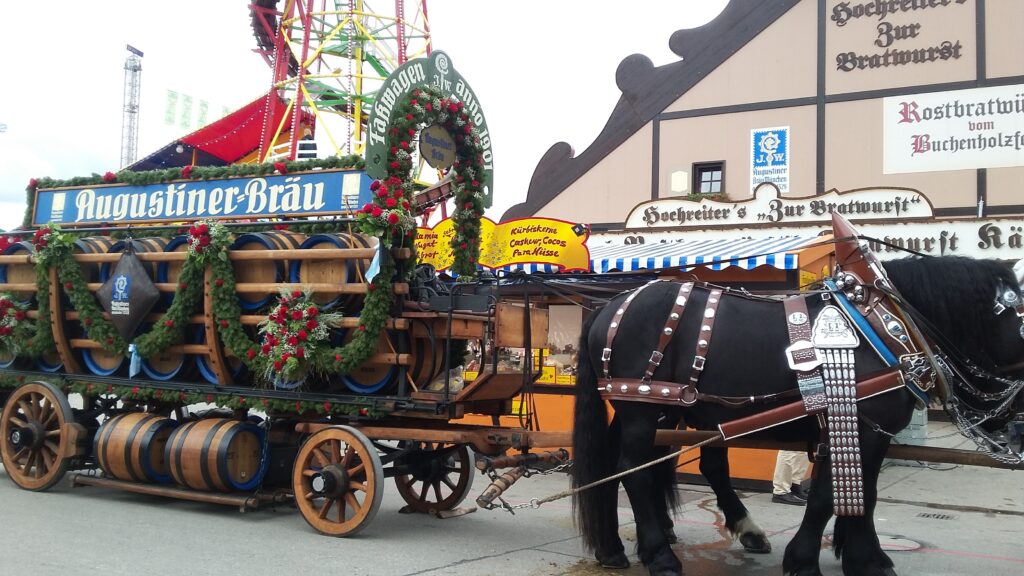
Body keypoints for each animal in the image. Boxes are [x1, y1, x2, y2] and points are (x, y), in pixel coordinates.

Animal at [573, 253, 1024, 569]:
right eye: (1018, 318)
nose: (1013, 418)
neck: (888, 326)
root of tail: (609, 307)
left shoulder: (862, 431)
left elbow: (866, 493)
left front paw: (865, 556)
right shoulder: (861, 425)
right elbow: (827, 495)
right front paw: (807, 559)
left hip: (660, 411)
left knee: (626, 466)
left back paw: (617, 547)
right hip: (642, 408)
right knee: (633, 469)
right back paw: (660, 555)